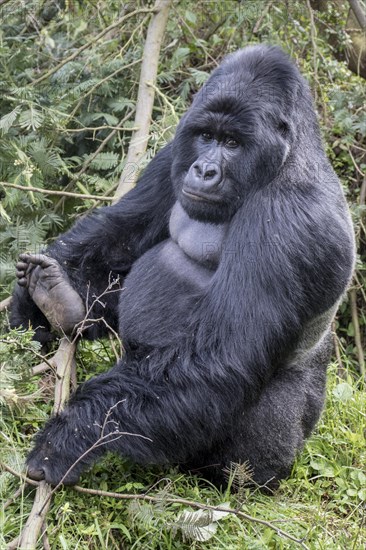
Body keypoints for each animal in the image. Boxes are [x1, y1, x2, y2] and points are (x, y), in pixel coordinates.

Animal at [10, 45, 354, 490]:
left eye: (232, 142)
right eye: (206, 136)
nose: (204, 169)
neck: (287, 158)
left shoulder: (289, 220)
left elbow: (219, 357)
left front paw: (70, 436)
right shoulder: (175, 151)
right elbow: (119, 236)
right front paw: (30, 307)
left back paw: (239, 477)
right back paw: (61, 303)